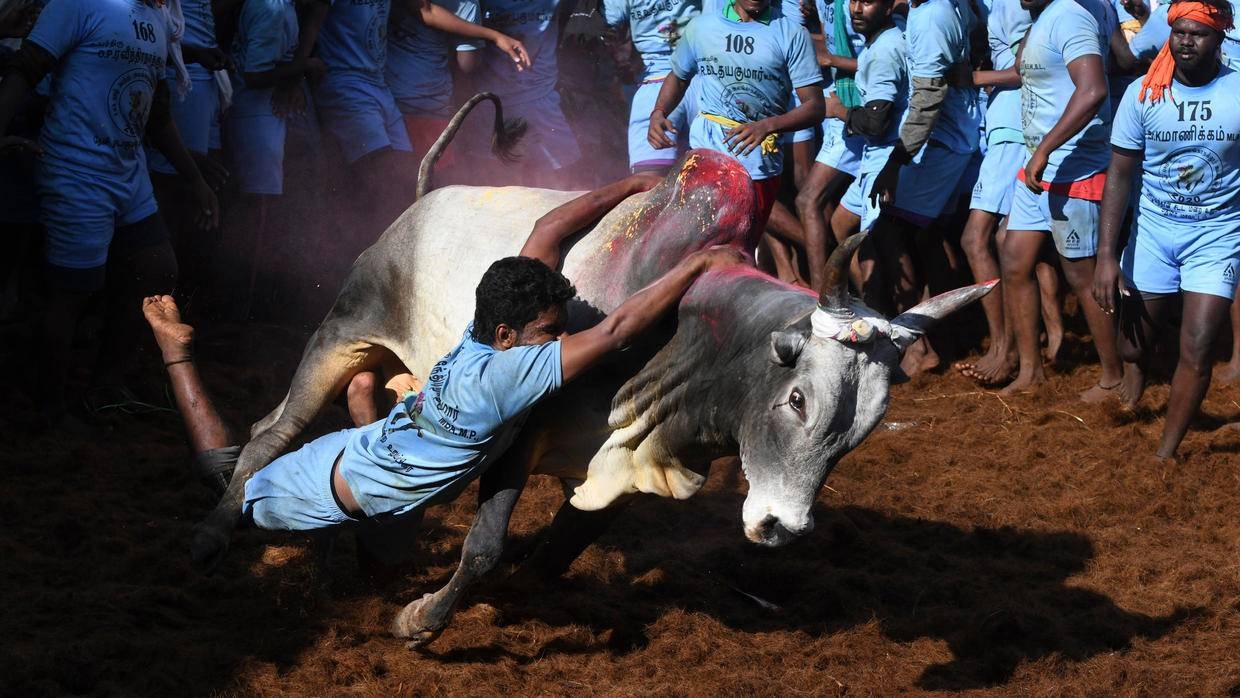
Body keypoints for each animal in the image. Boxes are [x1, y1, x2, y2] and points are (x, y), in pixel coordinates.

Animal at [188, 94, 992, 649]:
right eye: (797, 397)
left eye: (865, 429)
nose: (779, 528)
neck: (683, 341)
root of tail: (420, 201)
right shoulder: (519, 434)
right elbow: (484, 548)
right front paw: (421, 620)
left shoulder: (633, 465)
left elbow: (550, 555)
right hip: (344, 331)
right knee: (273, 431)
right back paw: (217, 537)